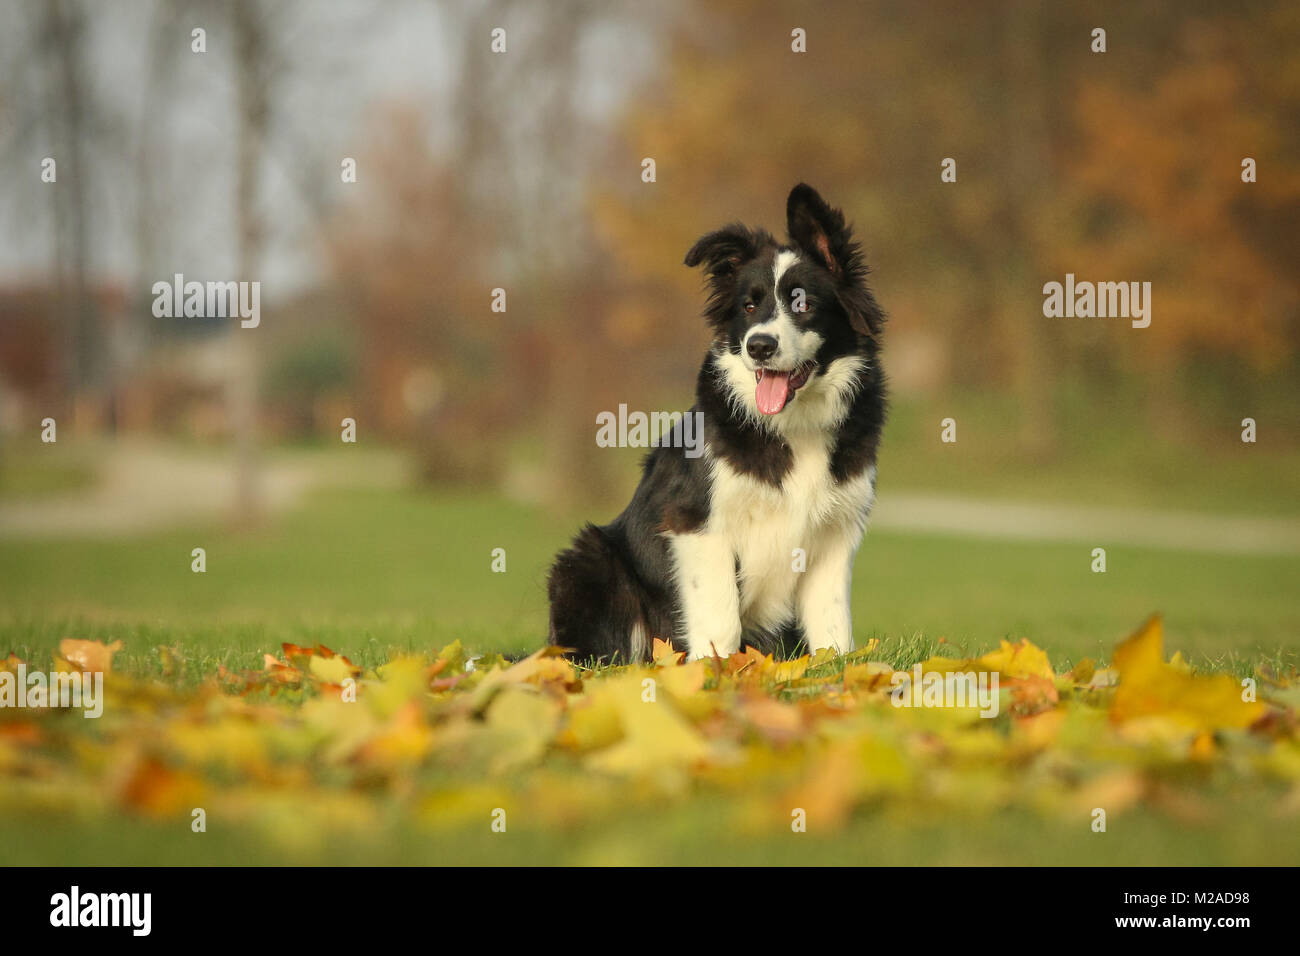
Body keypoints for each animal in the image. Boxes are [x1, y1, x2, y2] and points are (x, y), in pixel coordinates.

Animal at [543, 187, 889, 665]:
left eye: (803, 303)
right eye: (749, 305)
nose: (759, 346)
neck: (792, 426)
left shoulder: (836, 532)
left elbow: (832, 622)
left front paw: (837, 670)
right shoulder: (697, 523)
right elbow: (719, 617)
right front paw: (714, 672)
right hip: (587, 560)